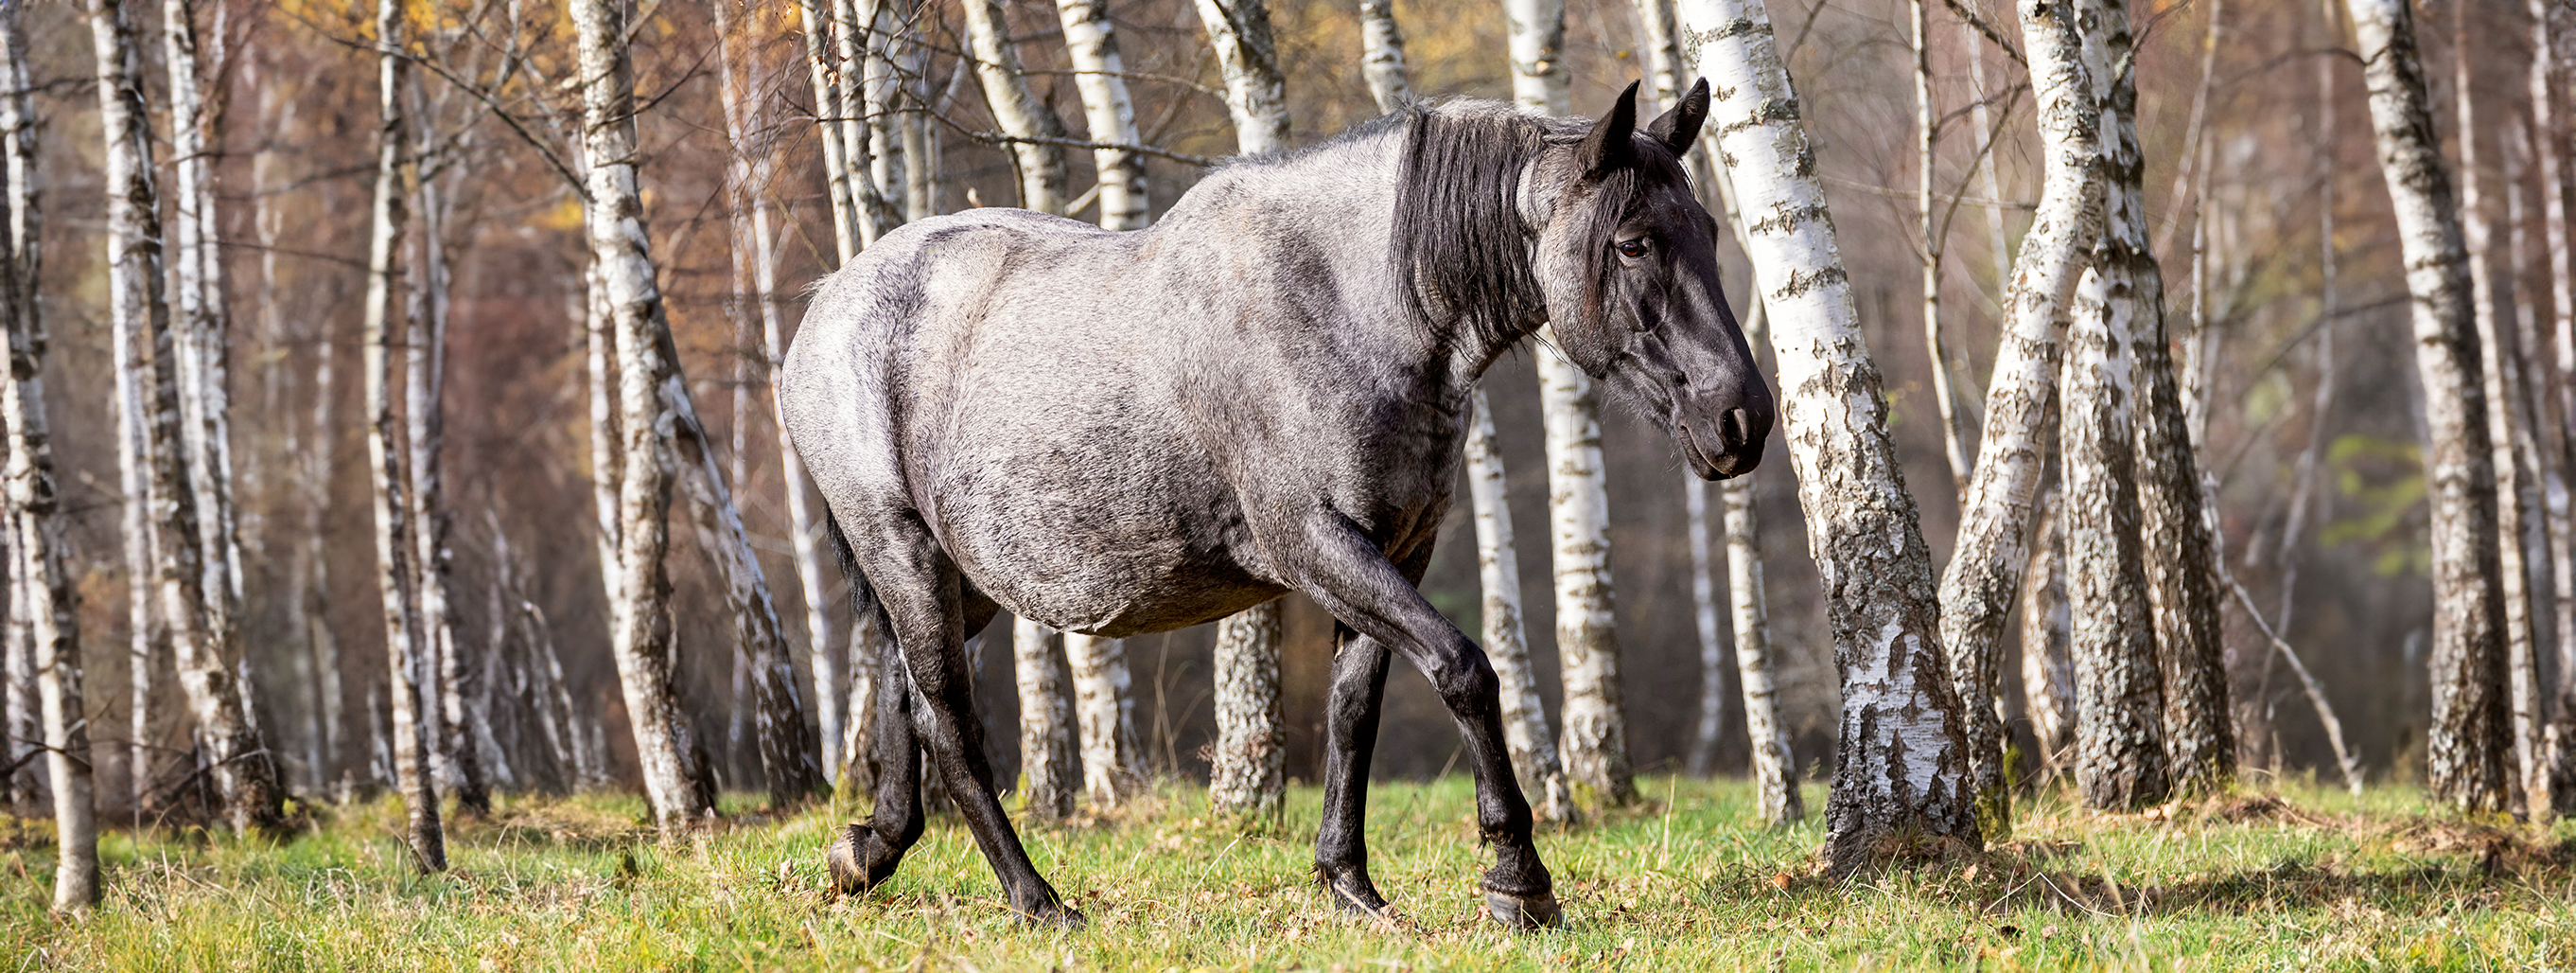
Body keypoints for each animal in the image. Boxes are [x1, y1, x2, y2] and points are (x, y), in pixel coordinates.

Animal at [772, 80, 1761, 931]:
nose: (1741, 417)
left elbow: (1353, 710)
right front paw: (1517, 880)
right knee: (950, 722)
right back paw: (1035, 899)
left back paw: (868, 852)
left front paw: (1349, 883)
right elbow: (1464, 671)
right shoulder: (1314, 542)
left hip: (963, 581)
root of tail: (828, 304)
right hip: (901, 551)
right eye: (1631, 241)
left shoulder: (1393, 551)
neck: (1350, 306)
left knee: (903, 694)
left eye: (1708, 229)